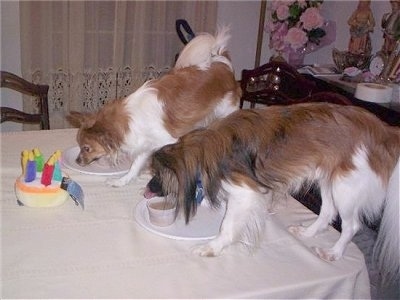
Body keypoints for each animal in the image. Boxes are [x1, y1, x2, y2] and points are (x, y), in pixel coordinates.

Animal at [66, 28, 241, 188]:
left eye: (86, 148)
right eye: (80, 147)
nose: (77, 160)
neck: (131, 119)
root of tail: (221, 61)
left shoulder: (169, 140)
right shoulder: (145, 143)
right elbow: (134, 166)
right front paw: (122, 181)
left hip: (226, 112)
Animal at [145, 103, 400, 284]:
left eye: (156, 175)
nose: (147, 189)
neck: (205, 146)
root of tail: (383, 131)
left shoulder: (244, 193)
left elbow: (228, 226)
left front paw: (213, 247)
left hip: (345, 187)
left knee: (351, 225)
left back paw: (334, 253)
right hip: (329, 179)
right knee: (327, 212)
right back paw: (308, 232)